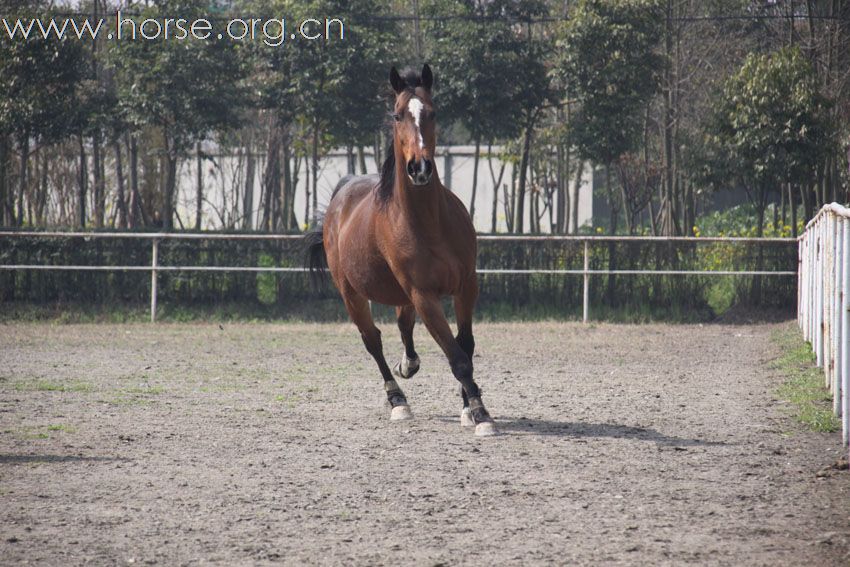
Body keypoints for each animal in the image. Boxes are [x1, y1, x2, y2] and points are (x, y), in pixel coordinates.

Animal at [304, 64, 494, 438]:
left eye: (432, 113)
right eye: (397, 115)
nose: (419, 168)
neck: (430, 223)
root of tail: (343, 190)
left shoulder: (466, 286)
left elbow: (465, 346)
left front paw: (468, 406)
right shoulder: (424, 295)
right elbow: (457, 357)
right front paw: (481, 415)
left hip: (402, 295)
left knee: (403, 327)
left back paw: (407, 365)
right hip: (351, 294)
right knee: (373, 340)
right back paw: (397, 400)